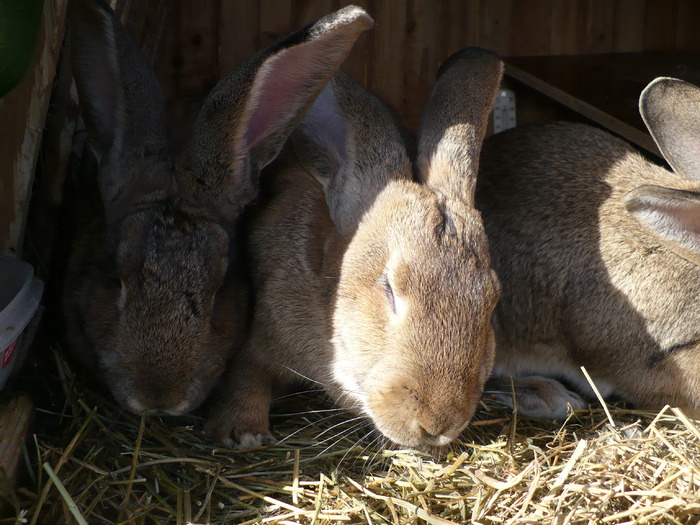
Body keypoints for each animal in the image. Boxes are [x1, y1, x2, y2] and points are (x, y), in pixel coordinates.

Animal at [205, 48, 506, 446]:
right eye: (389, 289)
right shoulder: (262, 331)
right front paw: (243, 433)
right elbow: (247, 374)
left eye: (492, 300)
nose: (438, 424)